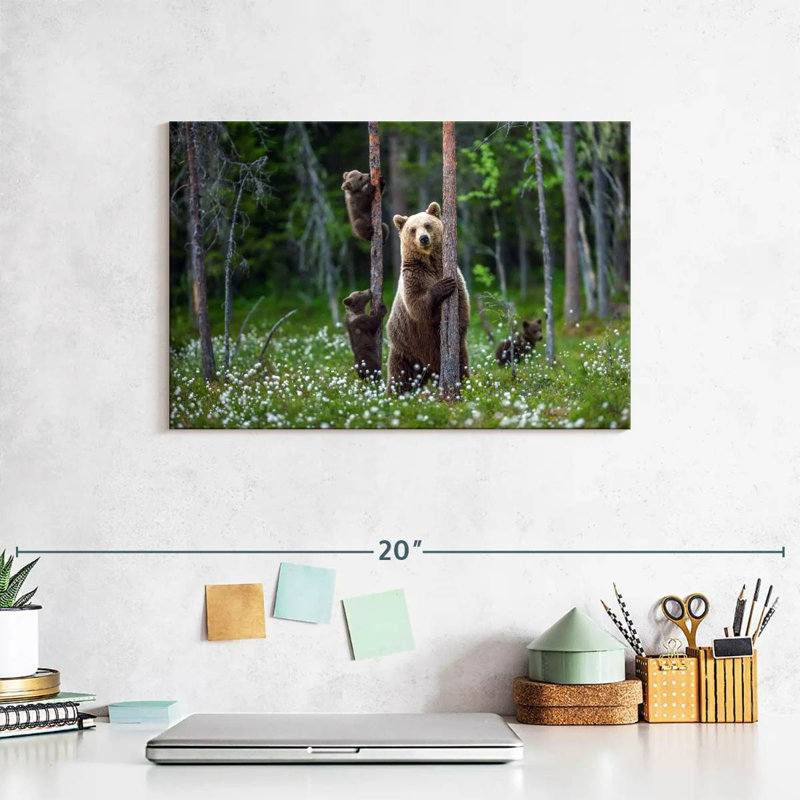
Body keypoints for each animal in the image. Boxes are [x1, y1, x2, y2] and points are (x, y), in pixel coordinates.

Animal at [386, 202, 470, 393]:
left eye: (427, 225)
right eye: (412, 229)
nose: (423, 238)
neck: (430, 263)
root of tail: (429, 369)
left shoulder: (455, 275)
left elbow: (462, 306)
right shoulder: (413, 276)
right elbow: (417, 305)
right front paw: (442, 286)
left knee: (462, 366)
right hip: (406, 348)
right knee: (400, 376)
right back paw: (393, 394)